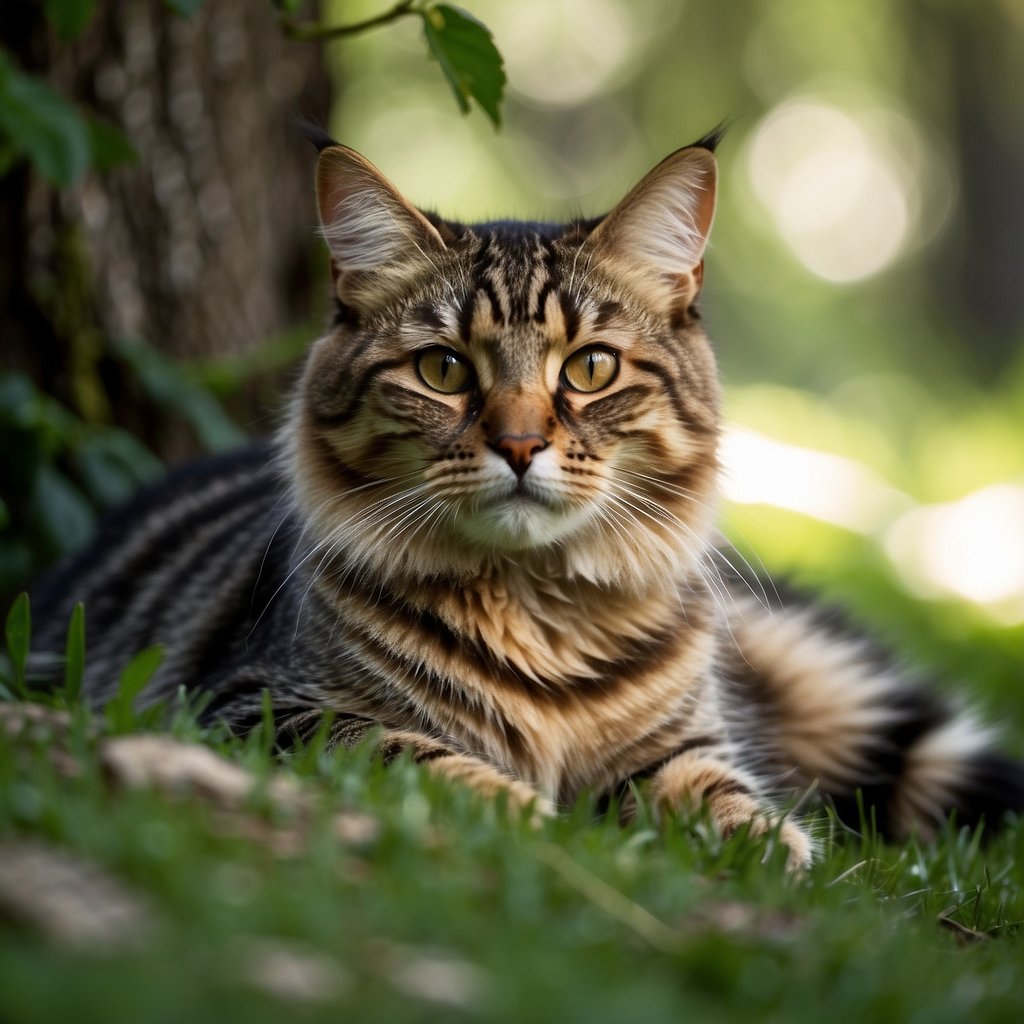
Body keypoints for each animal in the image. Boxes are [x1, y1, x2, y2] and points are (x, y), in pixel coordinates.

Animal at [32, 125, 1024, 864]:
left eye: (588, 369)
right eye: (442, 371)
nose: (518, 444)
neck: (537, 609)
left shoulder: (687, 743)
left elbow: (716, 789)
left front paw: (763, 844)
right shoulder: (257, 707)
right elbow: (411, 749)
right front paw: (523, 811)